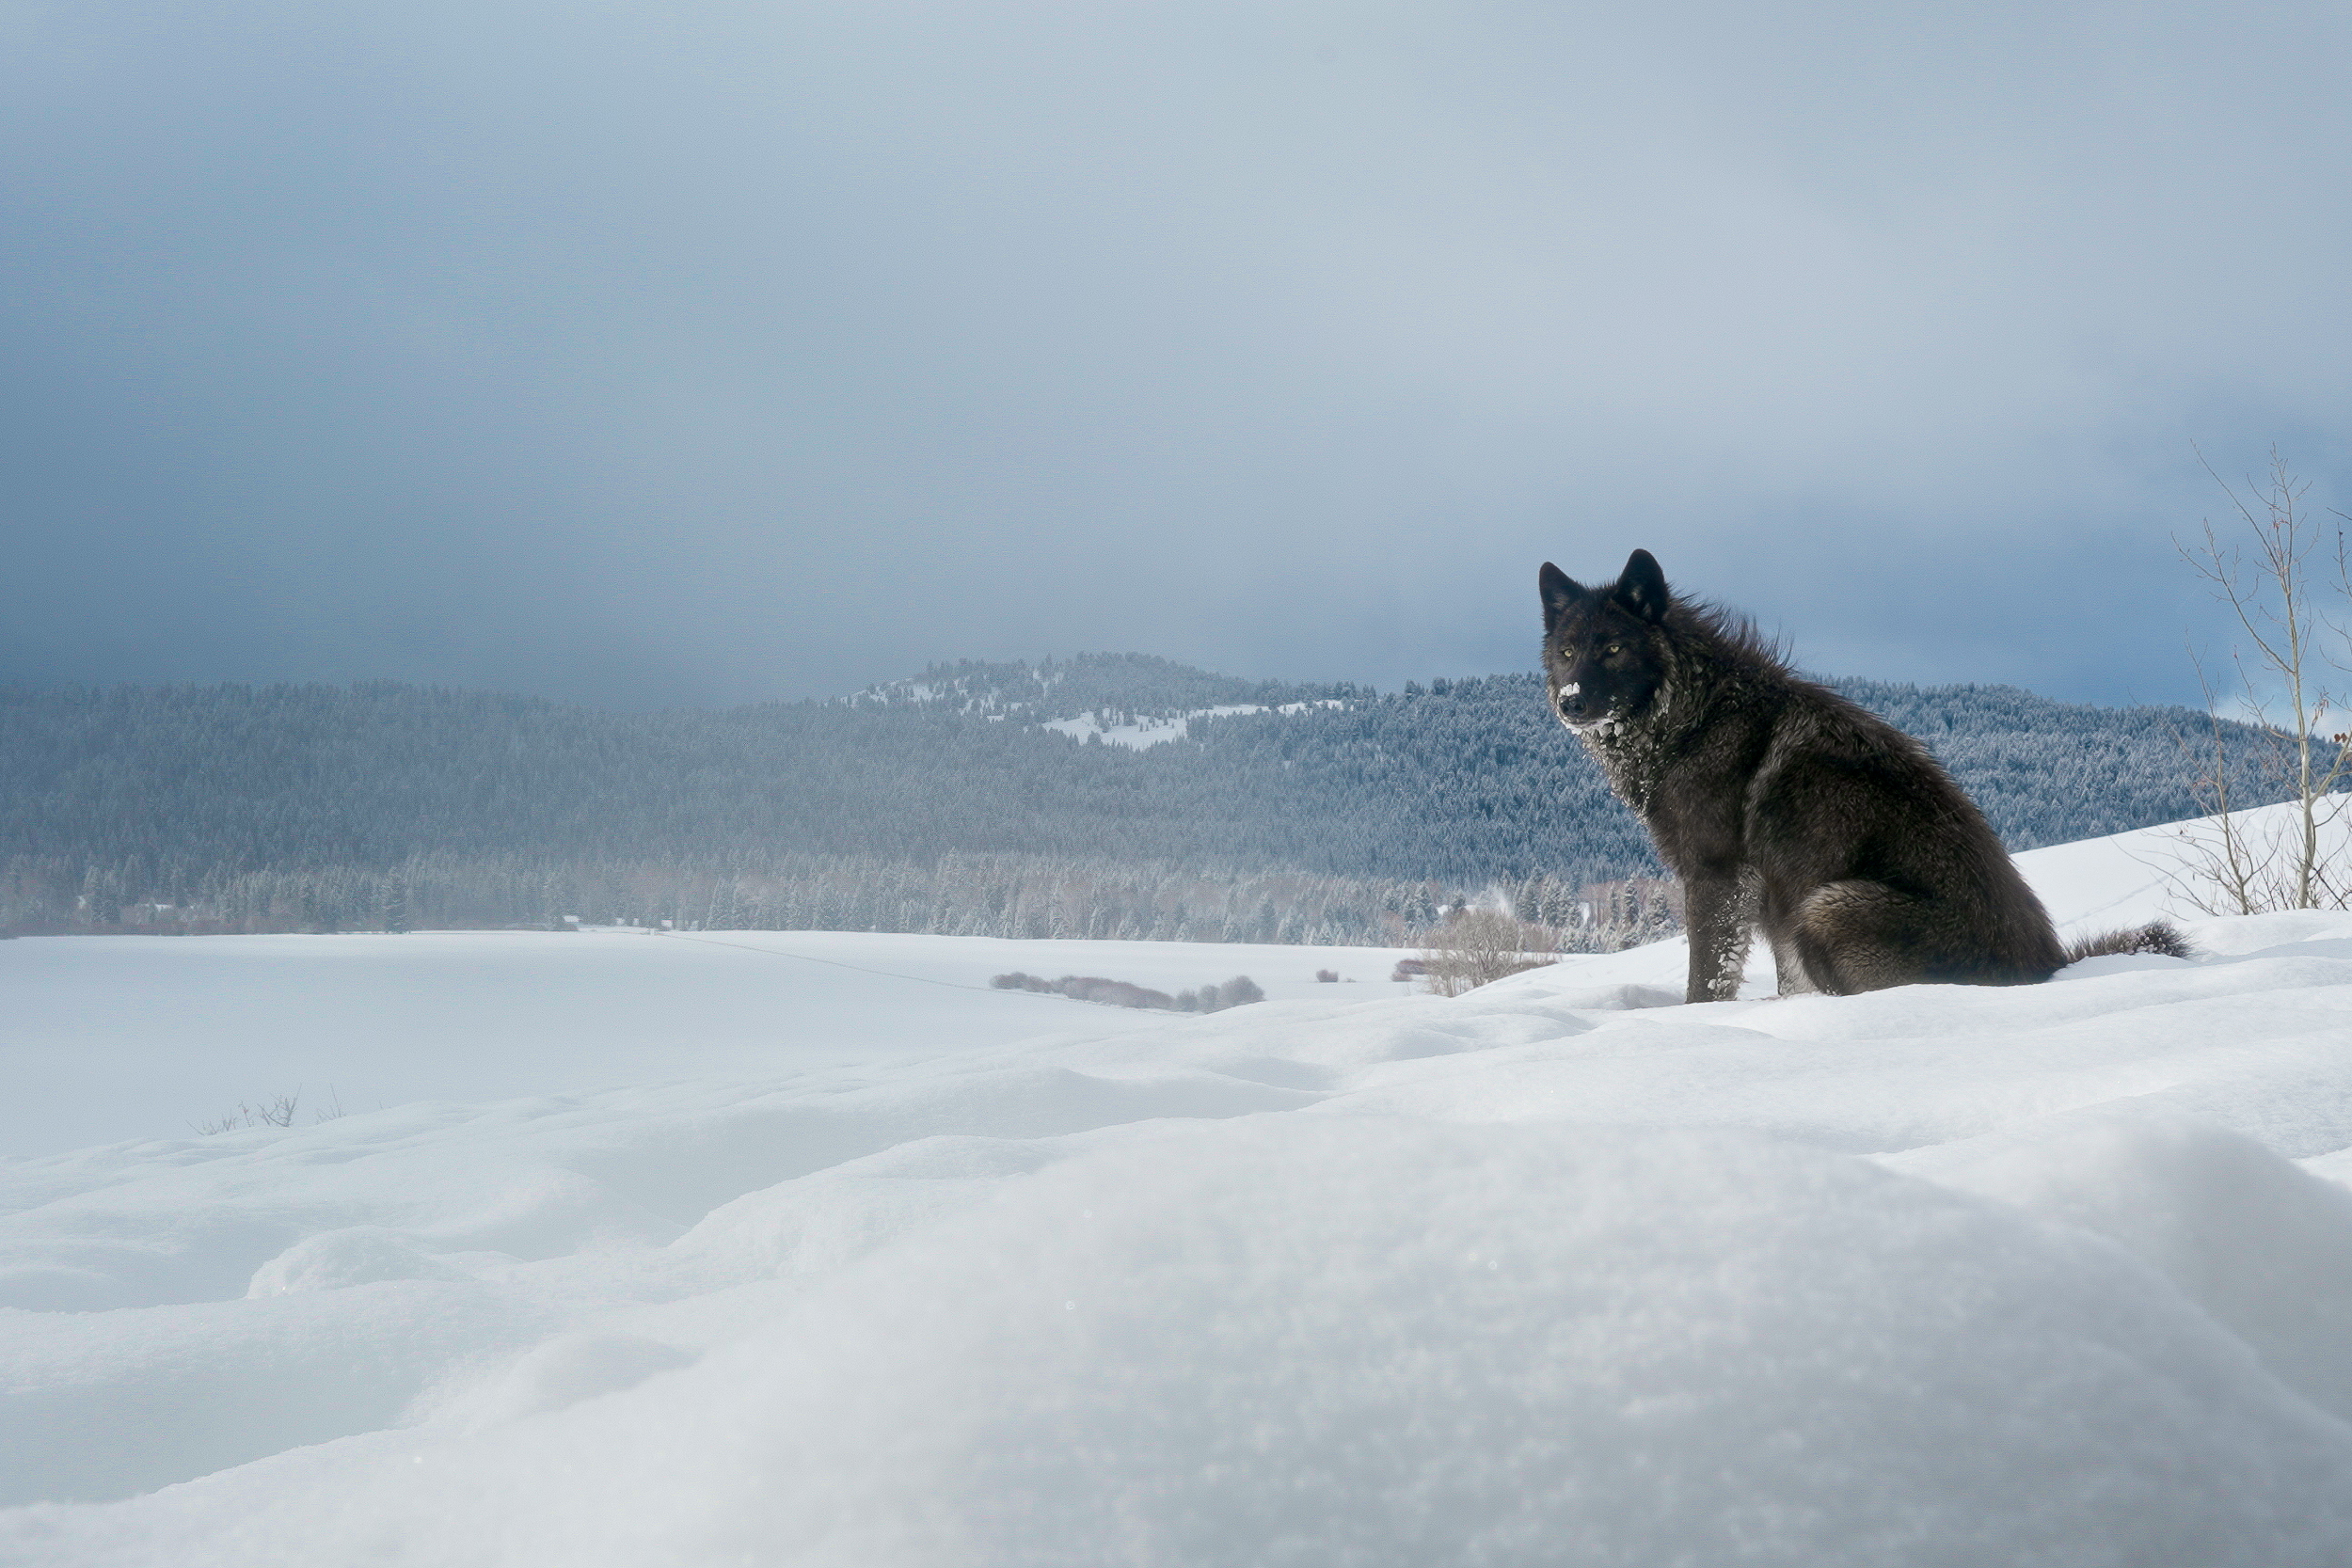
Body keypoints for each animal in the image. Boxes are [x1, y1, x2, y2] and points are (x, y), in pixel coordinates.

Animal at [1538, 549, 2185, 1003]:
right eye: (1567, 653)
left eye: (1615, 648)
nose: (1571, 702)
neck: (1693, 715)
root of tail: (2048, 967)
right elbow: (1786, 985)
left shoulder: (1718, 878)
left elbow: (1706, 981)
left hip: (1826, 906)